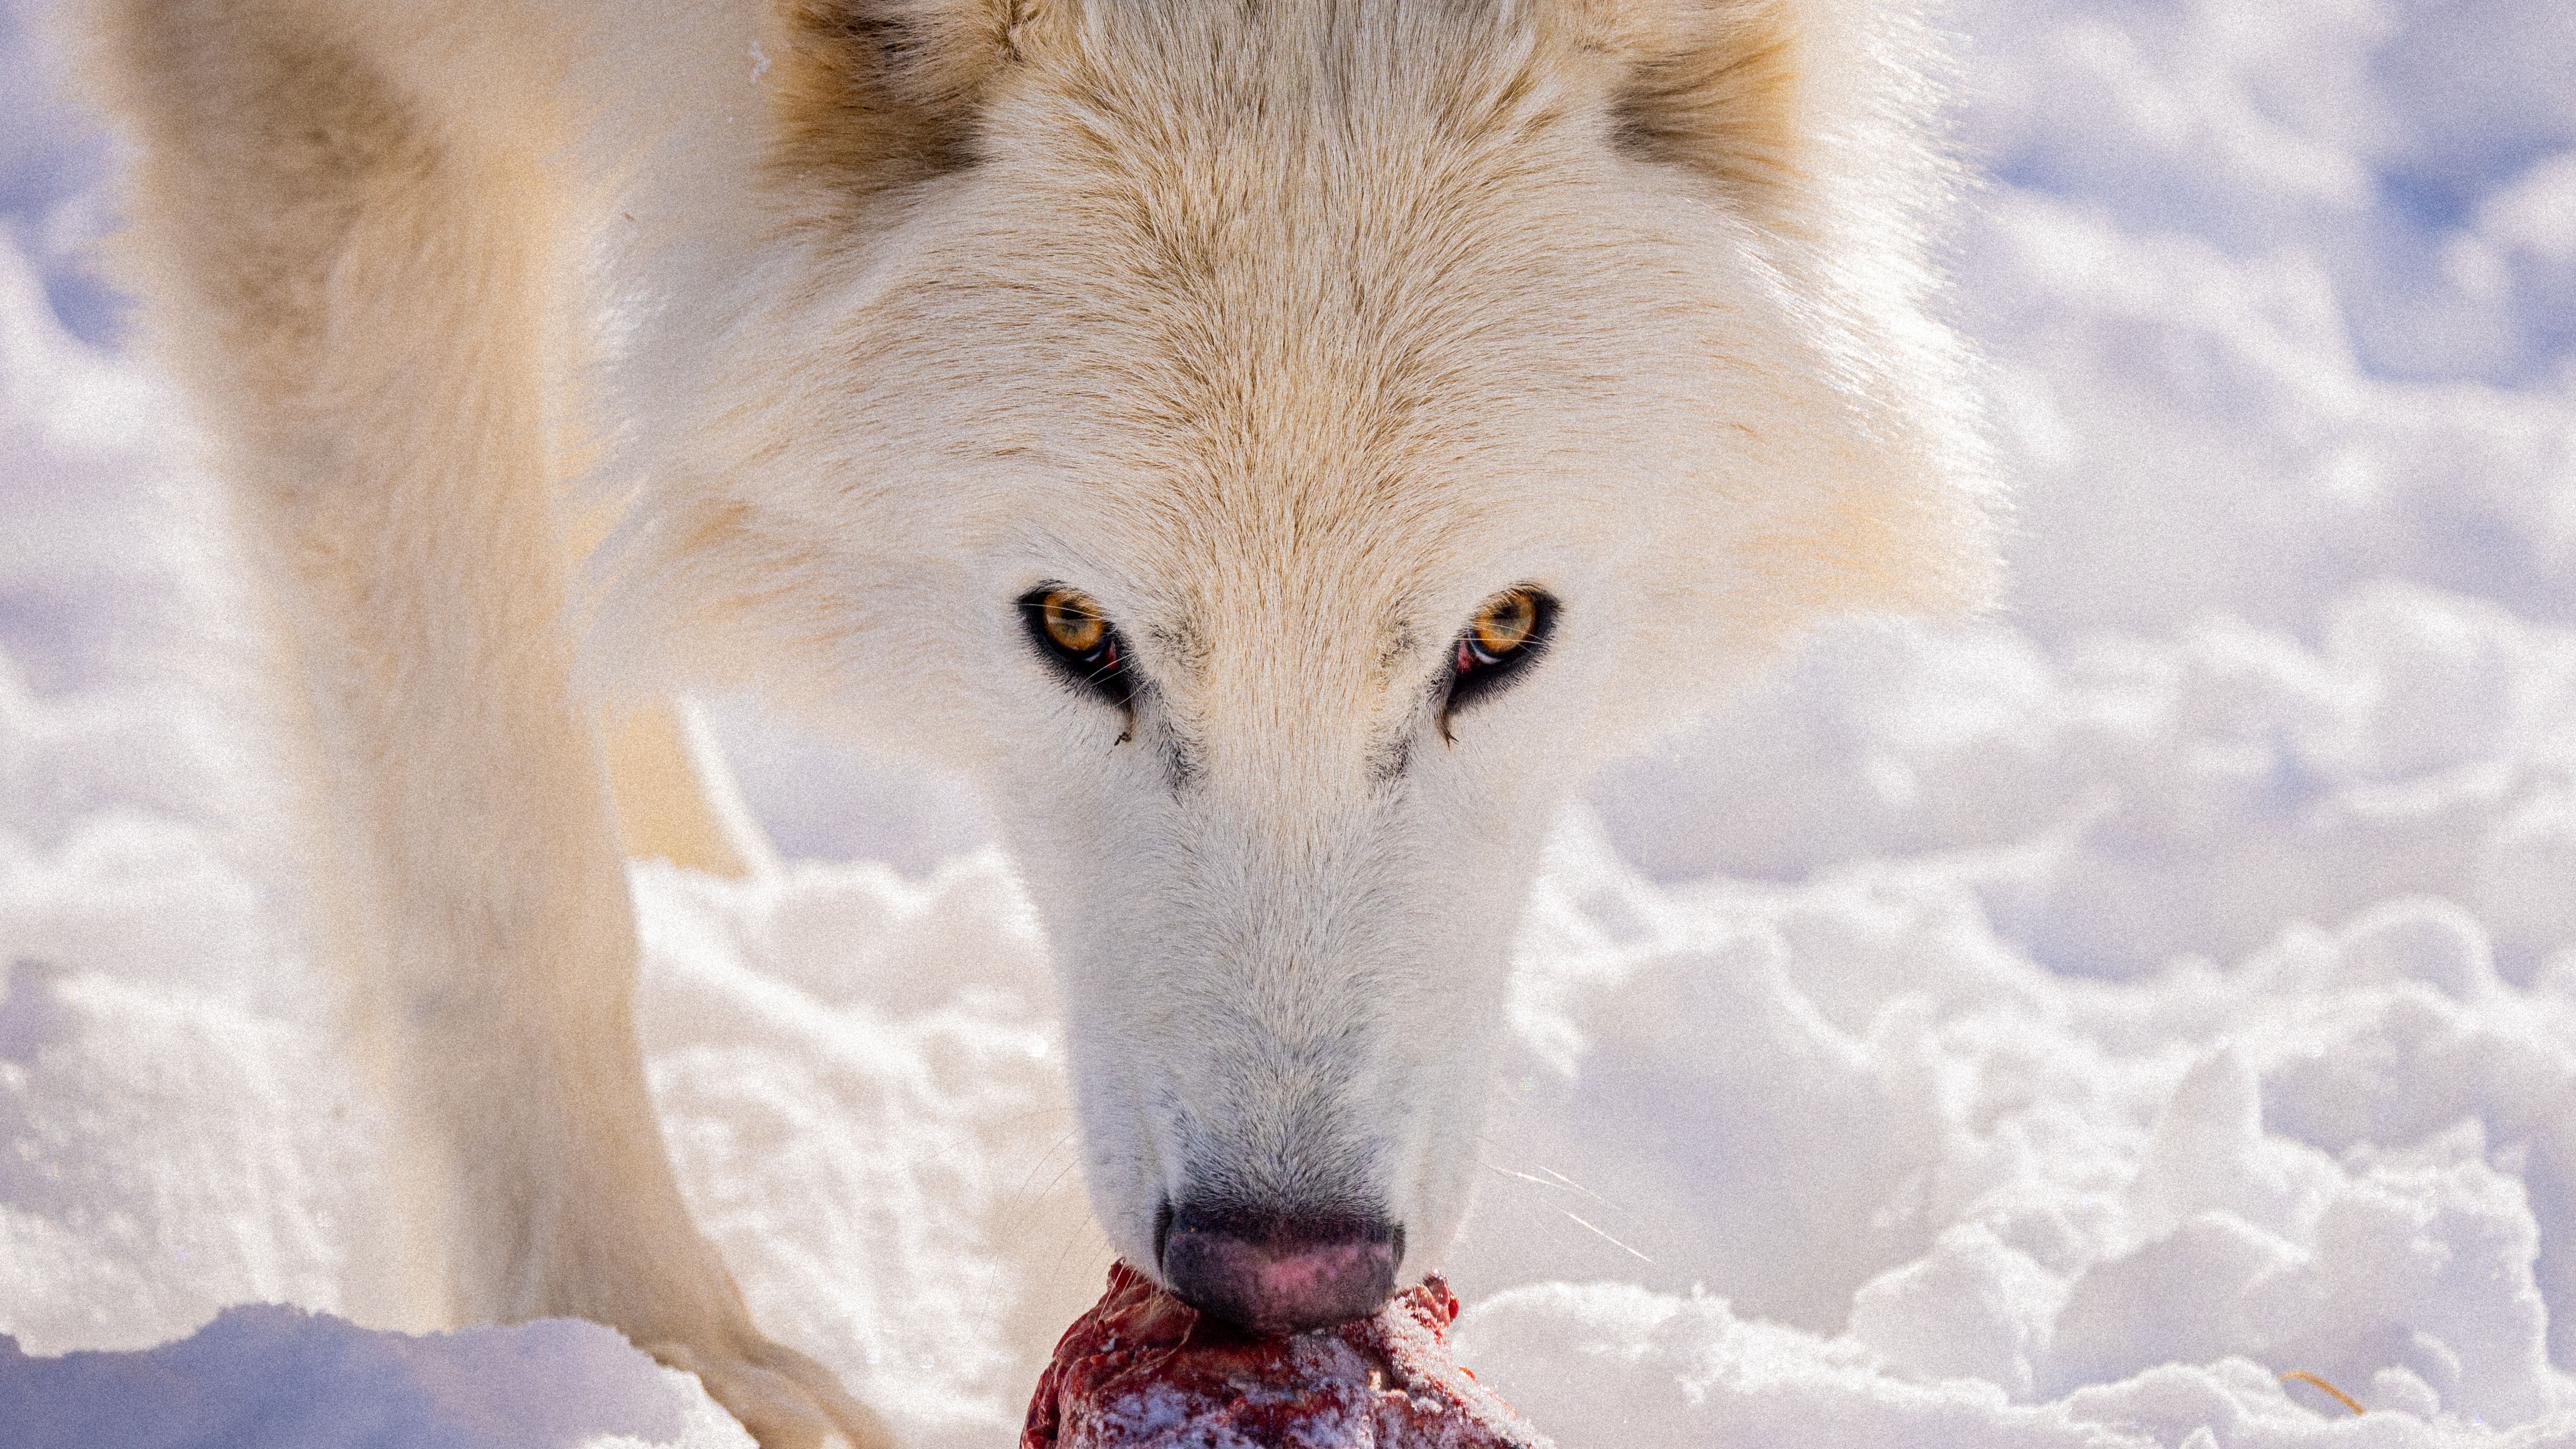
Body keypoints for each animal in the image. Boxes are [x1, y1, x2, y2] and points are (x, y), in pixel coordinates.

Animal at [75, 0, 1999, 1440]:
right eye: (1075, 633)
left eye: (1499, 636)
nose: (1277, 1270)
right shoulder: (330, 81)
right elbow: (500, 853)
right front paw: (651, 1359)